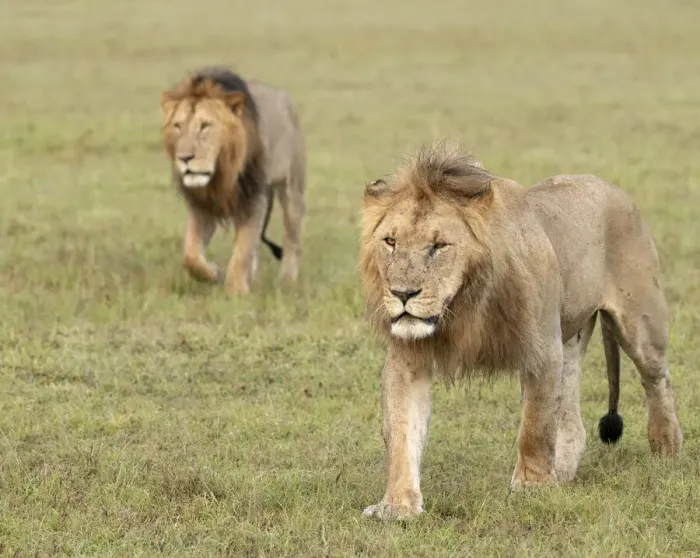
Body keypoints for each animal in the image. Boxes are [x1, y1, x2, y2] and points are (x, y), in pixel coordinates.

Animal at [160, 67, 305, 294]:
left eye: (205, 126)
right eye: (177, 126)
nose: (184, 158)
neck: (221, 173)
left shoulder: (253, 199)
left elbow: (242, 251)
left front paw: (236, 290)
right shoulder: (203, 207)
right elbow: (190, 255)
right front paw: (214, 273)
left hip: (291, 190)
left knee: (292, 239)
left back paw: (287, 280)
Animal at [359, 141, 683, 520]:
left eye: (439, 246)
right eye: (390, 241)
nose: (402, 293)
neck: (463, 306)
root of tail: (612, 188)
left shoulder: (542, 350)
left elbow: (535, 426)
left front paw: (532, 487)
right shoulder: (407, 361)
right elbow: (400, 433)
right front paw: (397, 505)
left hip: (640, 323)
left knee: (657, 380)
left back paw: (666, 447)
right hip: (570, 339)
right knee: (572, 420)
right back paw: (563, 472)